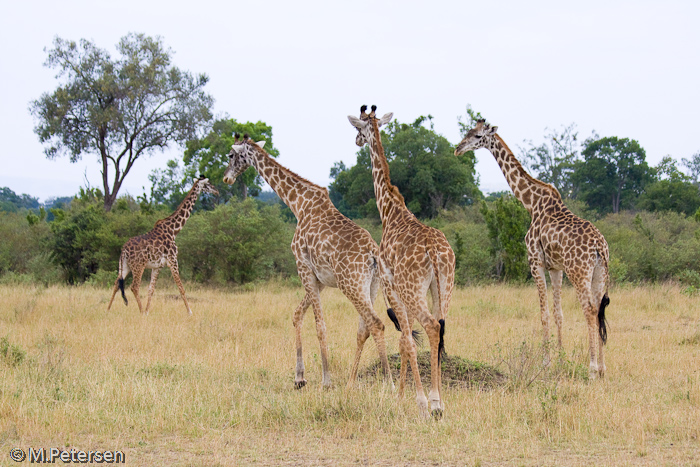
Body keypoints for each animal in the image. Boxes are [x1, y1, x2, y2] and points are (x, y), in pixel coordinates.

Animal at [105, 177, 216, 316]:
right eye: (208, 184)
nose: (216, 191)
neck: (174, 230)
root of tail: (123, 250)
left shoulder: (157, 266)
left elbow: (151, 289)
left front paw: (148, 311)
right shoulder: (173, 260)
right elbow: (181, 287)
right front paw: (190, 312)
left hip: (124, 266)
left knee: (116, 284)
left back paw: (108, 309)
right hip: (138, 266)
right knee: (134, 286)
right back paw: (140, 311)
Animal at [224, 133, 394, 390]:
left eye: (232, 155)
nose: (226, 177)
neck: (298, 204)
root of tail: (373, 253)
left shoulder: (302, 266)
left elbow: (320, 326)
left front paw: (326, 380)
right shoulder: (320, 278)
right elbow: (297, 315)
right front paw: (299, 377)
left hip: (350, 284)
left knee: (375, 323)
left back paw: (391, 384)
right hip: (371, 285)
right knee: (364, 327)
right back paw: (352, 382)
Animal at [348, 106, 456, 416]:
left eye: (357, 128)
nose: (357, 141)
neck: (389, 210)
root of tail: (434, 250)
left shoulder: (391, 285)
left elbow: (407, 341)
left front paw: (414, 400)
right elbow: (405, 340)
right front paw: (402, 396)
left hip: (413, 289)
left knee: (431, 326)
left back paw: (432, 402)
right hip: (444, 288)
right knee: (441, 329)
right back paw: (440, 400)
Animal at [456, 120, 608, 380]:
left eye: (476, 136)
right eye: (467, 131)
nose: (457, 149)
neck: (531, 204)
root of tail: (600, 246)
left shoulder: (535, 262)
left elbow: (543, 313)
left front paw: (546, 364)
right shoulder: (555, 268)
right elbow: (558, 314)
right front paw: (560, 361)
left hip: (579, 272)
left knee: (589, 310)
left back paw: (591, 369)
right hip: (599, 273)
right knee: (599, 309)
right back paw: (603, 368)